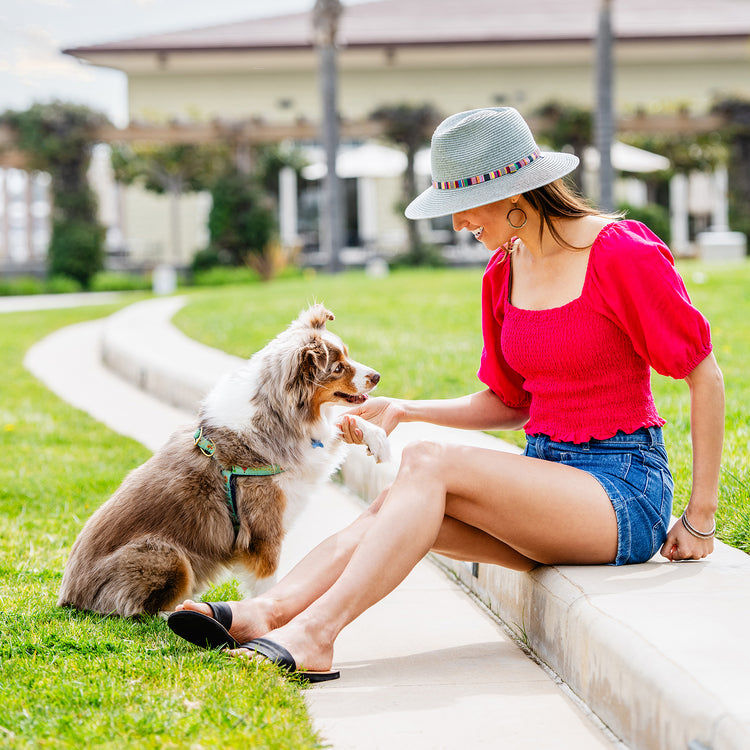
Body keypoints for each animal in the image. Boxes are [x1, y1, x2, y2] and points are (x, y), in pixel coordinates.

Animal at [55, 306, 390, 616]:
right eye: (338, 367)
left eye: (348, 356)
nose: (377, 376)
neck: (278, 415)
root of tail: (68, 595)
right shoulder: (263, 533)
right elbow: (267, 584)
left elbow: (342, 426)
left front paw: (378, 440)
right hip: (167, 554)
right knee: (136, 610)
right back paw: (180, 612)